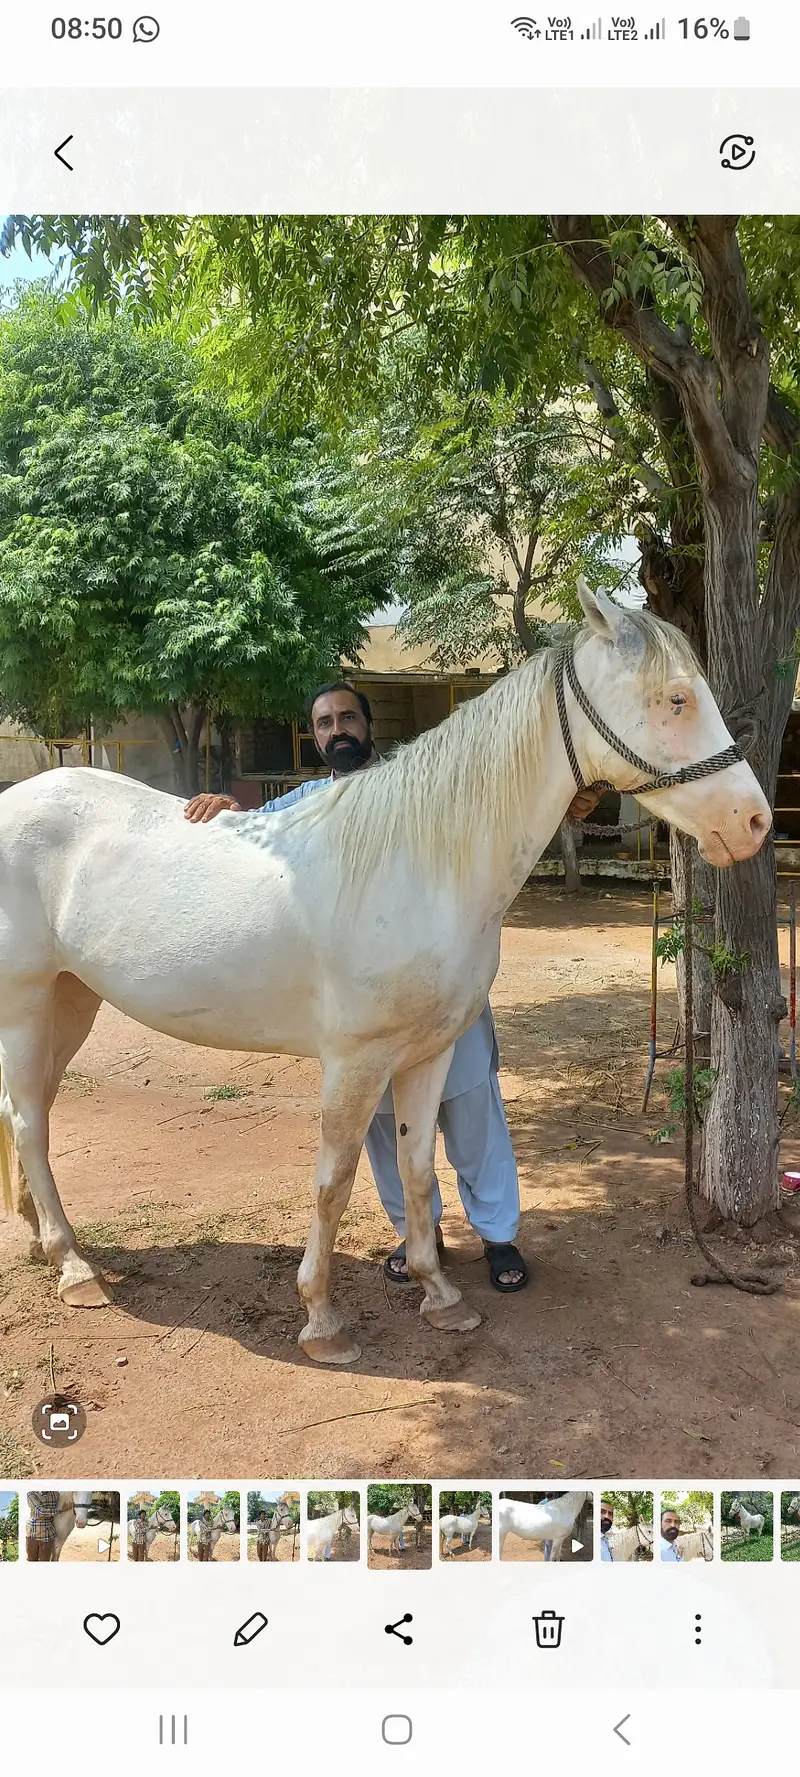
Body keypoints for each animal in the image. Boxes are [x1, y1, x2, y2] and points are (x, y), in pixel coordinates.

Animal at [0, 581, 770, 1365]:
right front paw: (322, 1319)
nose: (754, 822)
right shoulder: (355, 1061)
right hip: (25, 1004)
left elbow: (420, 1172)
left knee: (30, 1111)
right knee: (29, 1120)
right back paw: (73, 1267)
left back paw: (40, 1241)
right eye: (676, 698)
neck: (419, 864)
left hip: (73, 1001)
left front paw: (439, 1294)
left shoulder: (427, 1055)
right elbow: (333, 1180)